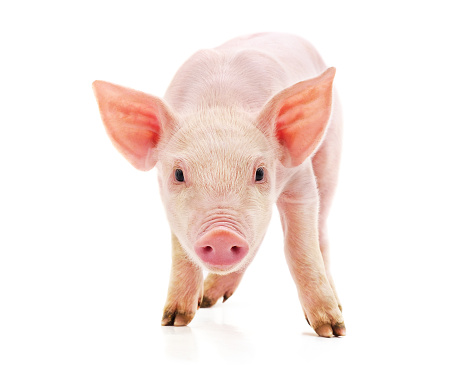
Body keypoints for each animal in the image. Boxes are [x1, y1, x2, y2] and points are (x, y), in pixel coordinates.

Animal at [93, 33, 344, 334]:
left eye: (260, 173)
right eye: (178, 174)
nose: (222, 234)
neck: (220, 104)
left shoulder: (300, 178)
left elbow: (300, 248)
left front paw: (331, 331)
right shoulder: (166, 197)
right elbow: (182, 252)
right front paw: (174, 321)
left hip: (330, 155)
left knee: (321, 232)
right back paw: (209, 300)